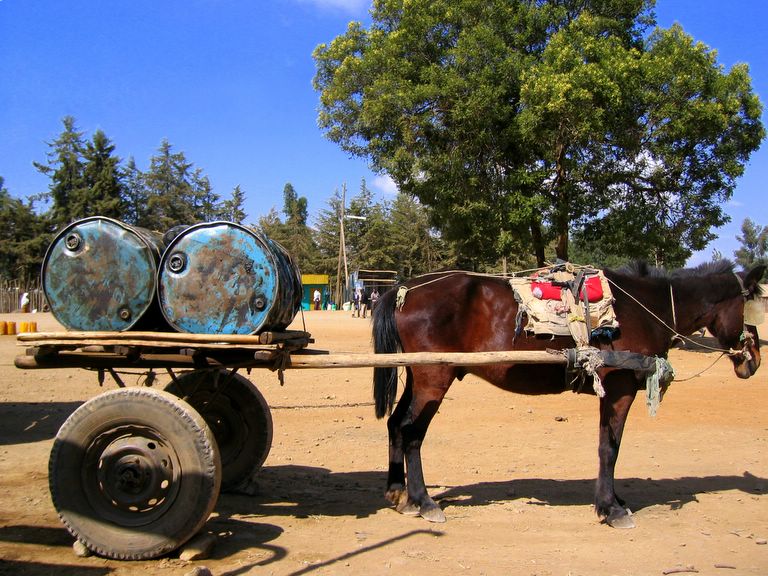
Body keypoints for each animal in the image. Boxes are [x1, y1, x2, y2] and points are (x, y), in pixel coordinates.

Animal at [372, 260, 760, 528]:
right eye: (754, 306)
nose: (753, 359)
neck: (644, 308)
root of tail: (407, 288)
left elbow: (609, 446)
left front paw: (613, 500)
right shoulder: (619, 389)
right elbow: (609, 447)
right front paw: (611, 508)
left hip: (419, 375)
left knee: (395, 424)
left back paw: (398, 491)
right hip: (434, 377)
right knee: (411, 432)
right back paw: (423, 501)